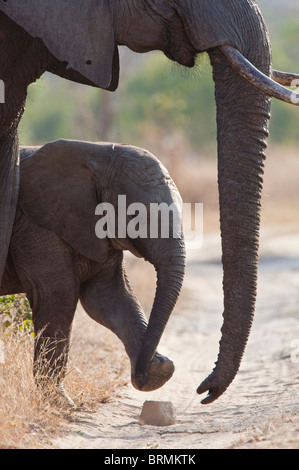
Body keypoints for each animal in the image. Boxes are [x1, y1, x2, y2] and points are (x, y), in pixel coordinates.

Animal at [0, 140, 185, 404]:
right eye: (135, 216)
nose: (140, 377)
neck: (99, 154)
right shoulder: (36, 226)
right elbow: (59, 294)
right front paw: (60, 403)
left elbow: (109, 296)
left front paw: (160, 371)